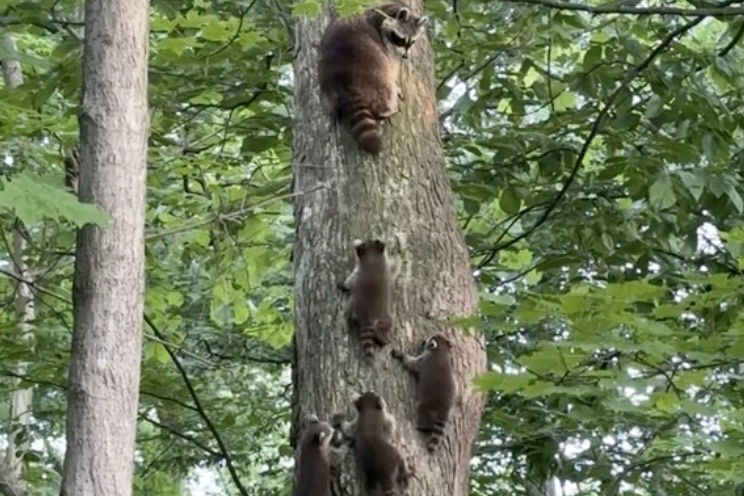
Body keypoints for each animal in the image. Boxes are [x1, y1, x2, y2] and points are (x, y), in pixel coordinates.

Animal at [316, 1, 428, 155]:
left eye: (411, 42)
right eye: (401, 39)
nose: (405, 56)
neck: (391, 8)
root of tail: (344, 79)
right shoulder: (386, 42)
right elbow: (393, 65)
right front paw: (397, 83)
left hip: (325, 81)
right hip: (375, 73)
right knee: (385, 89)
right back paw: (388, 107)